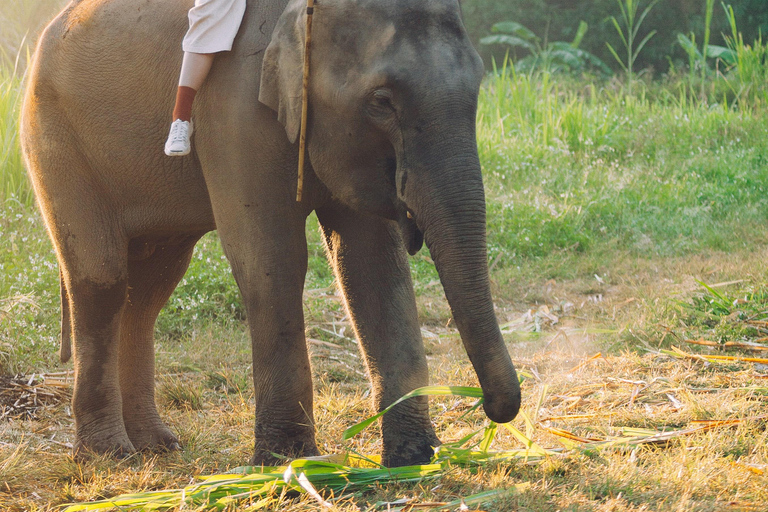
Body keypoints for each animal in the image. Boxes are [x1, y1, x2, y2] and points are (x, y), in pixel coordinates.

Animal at [21, 0, 520, 466]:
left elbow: (370, 264)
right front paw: (287, 462)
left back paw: (157, 445)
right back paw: (110, 455)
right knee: (103, 279)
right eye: (381, 100)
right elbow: (272, 257)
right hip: (55, 141)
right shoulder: (235, 111)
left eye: (478, 83)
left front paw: (412, 458)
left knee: (148, 293)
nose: (490, 407)